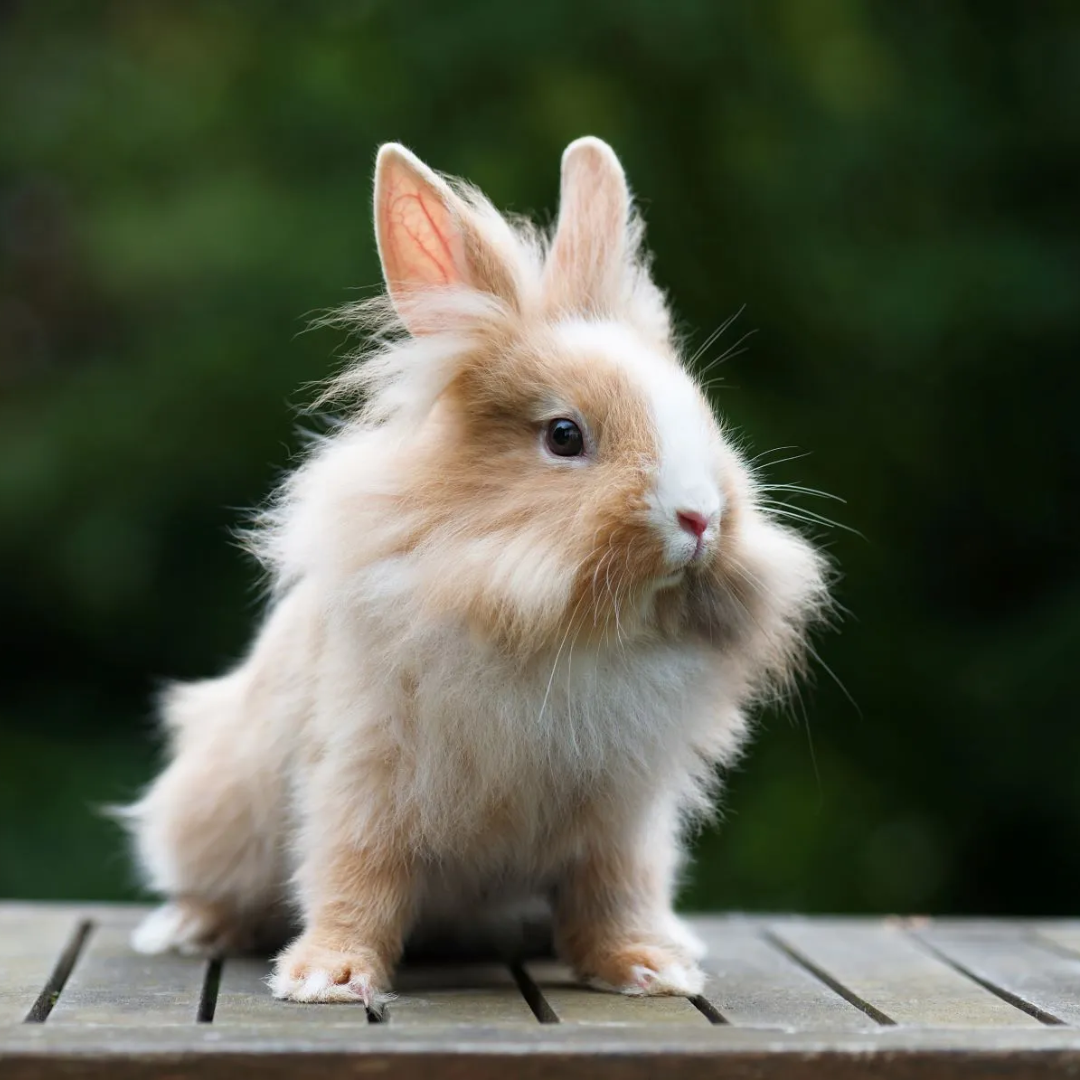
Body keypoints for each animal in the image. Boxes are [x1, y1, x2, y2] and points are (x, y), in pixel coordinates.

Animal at [122, 136, 829, 1009]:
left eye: (703, 417)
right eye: (564, 436)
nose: (699, 518)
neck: (562, 629)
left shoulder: (623, 815)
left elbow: (614, 892)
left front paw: (645, 968)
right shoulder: (365, 777)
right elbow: (356, 877)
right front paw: (329, 978)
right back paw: (189, 929)